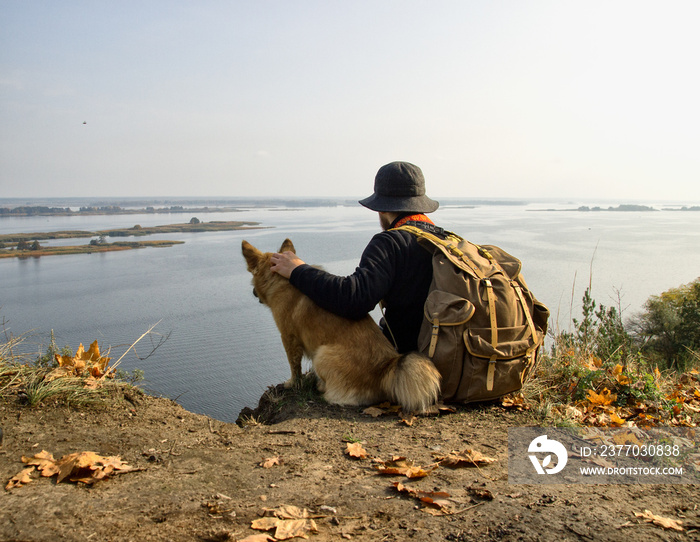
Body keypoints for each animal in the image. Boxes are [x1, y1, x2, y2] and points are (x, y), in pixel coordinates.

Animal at [241, 240, 438, 414]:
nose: (253, 292)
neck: (281, 279)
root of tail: (384, 369)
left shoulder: (288, 337)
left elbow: (294, 365)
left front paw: (292, 383)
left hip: (322, 355)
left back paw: (323, 389)